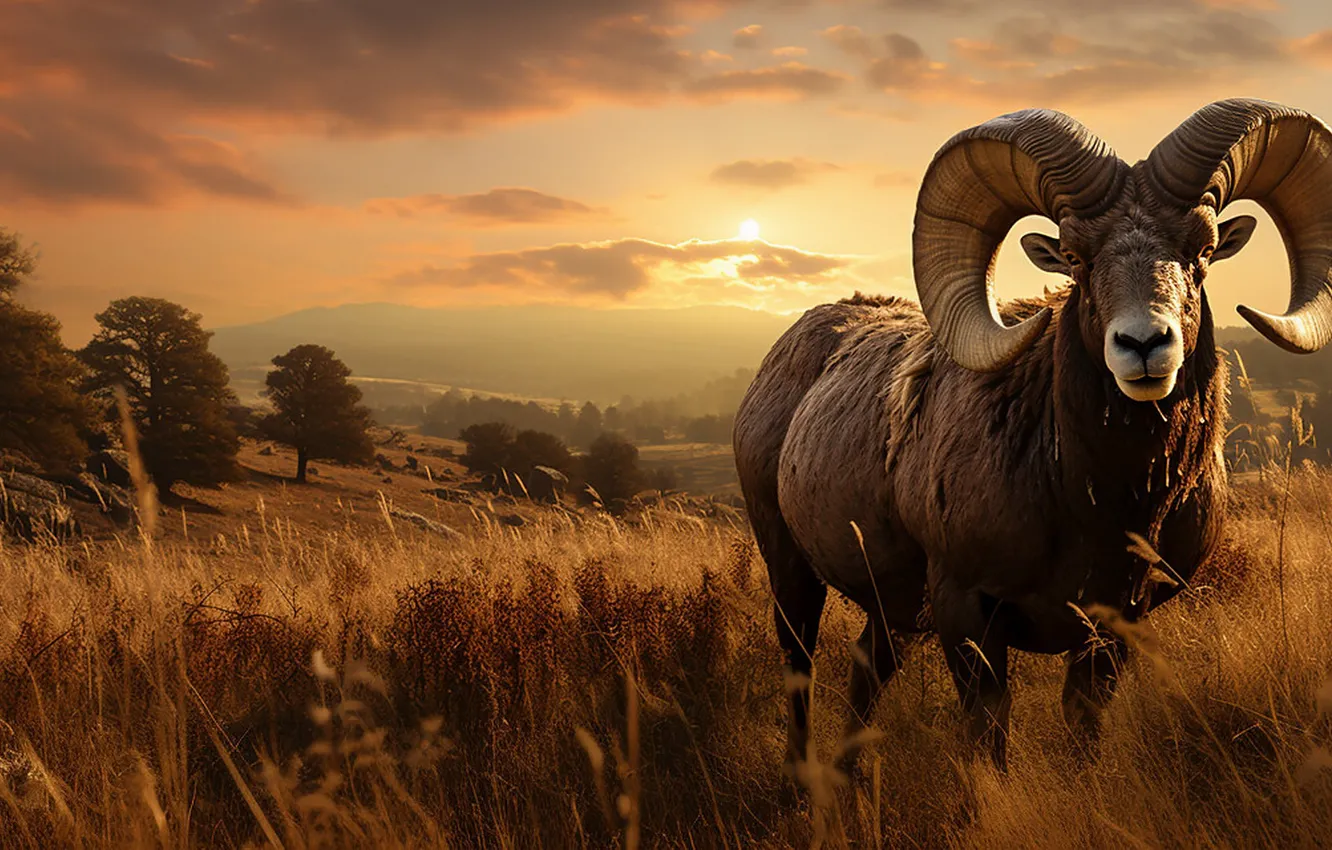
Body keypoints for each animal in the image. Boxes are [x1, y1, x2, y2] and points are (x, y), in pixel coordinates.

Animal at [733, 99, 1332, 774]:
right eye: (1074, 257)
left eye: (1202, 251)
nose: (1145, 346)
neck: (1096, 506)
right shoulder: (967, 614)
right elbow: (989, 735)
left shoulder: (1113, 629)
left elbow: (1083, 728)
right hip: (791, 574)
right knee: (800, 669)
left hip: (894, 611)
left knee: (866, 673)